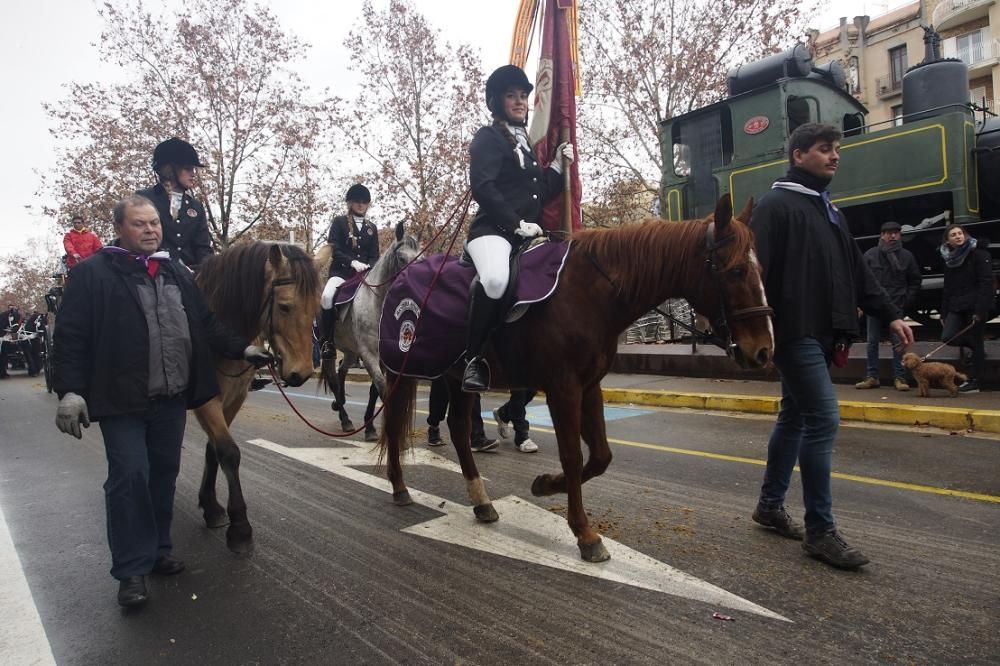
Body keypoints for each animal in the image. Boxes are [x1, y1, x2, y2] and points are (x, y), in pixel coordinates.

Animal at [191, 241, 320, 552]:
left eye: (316, 308)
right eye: (284, 306)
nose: (302, 373)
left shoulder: (234, 398)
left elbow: (214, 450)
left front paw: (211, 506)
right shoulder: (206, 401)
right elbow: (229, 452)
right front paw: (240, 527)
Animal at [376, 193, 772, 560]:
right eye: (736, 270)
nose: (764, 352)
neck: (589, 291)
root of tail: (402, 277)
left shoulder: (590, 385)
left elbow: (600, 456)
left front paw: (545, 485)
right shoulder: (563, 388)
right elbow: (571, 454)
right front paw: (585, 533)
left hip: (456, 377)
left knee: (458, 429)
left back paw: (482, 502)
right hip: (401, 370)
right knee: (394, 424)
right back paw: (399, 488)